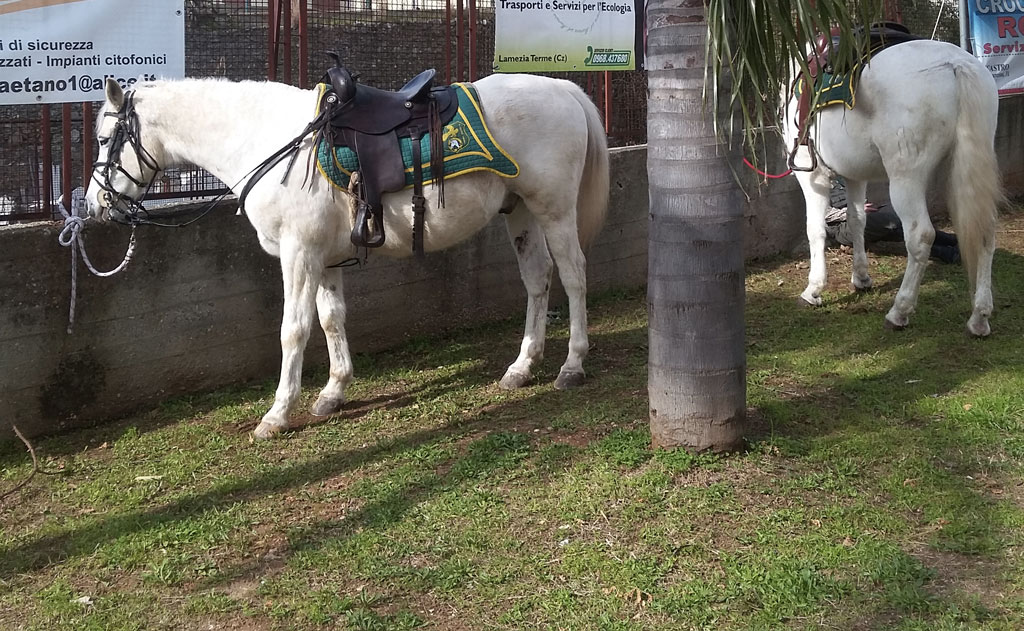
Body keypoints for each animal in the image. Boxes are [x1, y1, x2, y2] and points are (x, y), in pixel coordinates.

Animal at [84, 74, 609, 439]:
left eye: (106, 140)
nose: (94, 204)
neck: (264, 138)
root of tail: (564, 89)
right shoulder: (326, 258)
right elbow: (331, 318)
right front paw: (333, 392)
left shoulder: (298, 253)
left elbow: (294, 330)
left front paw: (277, 413)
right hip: (519, 211)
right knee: (537, 280)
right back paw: (522, 367)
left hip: (554, 209)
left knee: (574, 277)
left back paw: (571, 365)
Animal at [783, 38, 1003, 336]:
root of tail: (955, 64)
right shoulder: (855, 176)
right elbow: (857, 220)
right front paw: (861, 278)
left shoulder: (811, 175)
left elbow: (815, 230)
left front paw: (813, 290)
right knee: (985, 232)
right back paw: (979, 317)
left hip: (905, 179)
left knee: (921, 236)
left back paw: (899, 312)